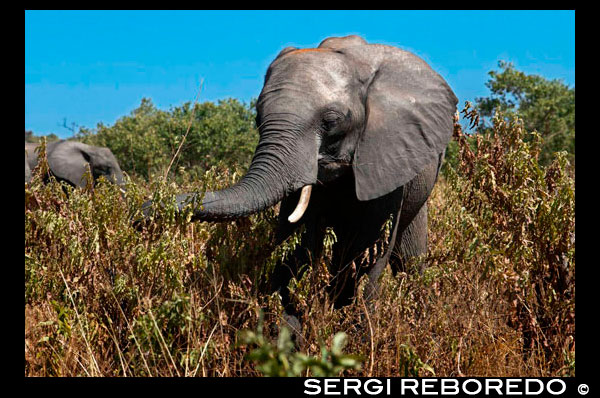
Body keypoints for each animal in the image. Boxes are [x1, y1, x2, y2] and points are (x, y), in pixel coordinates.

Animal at [142, 35, 460, 330]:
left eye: (331, 121)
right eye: (257, 118)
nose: (143, 213)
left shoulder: (385, 156)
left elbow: (364, 254)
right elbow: (297, 247)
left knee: (409, 259)